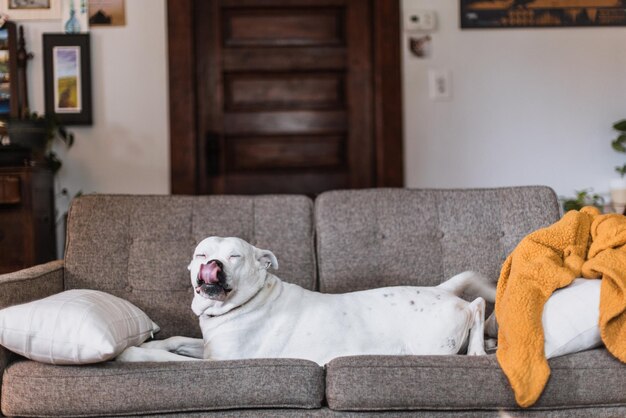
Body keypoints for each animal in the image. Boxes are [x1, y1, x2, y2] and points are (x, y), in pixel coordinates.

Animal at [117, 237, 494, 364]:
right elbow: (177, 341)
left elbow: (167, 360)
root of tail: (442, 289)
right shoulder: (208, 345)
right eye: (202, 253)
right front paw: (152, 342)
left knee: (477, 306)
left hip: (432, 341)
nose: (214, 265)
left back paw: (478, 348)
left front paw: (133, 353)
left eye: (236, 255)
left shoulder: (218, 361)